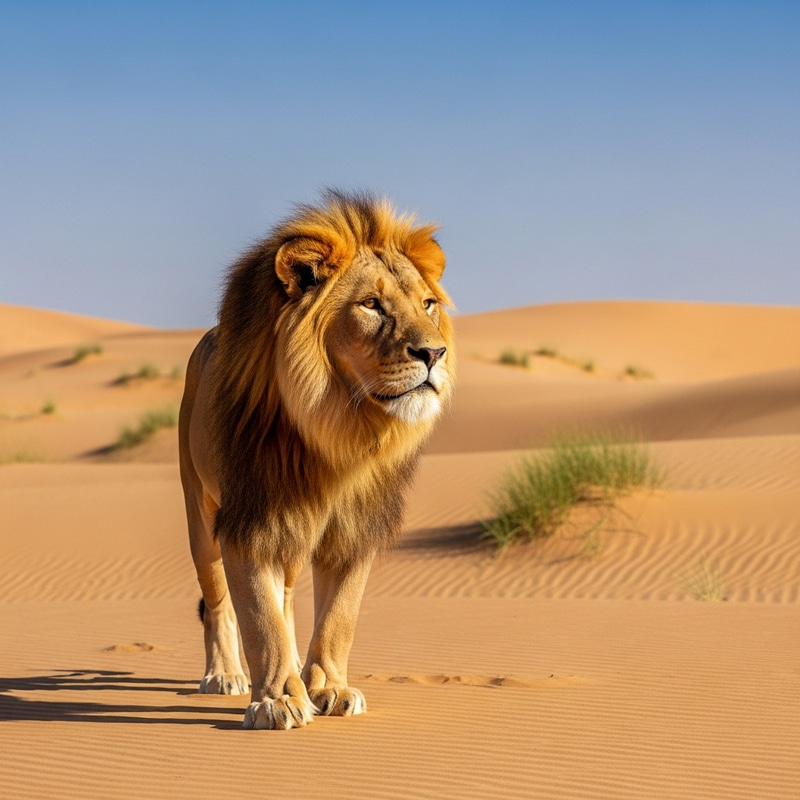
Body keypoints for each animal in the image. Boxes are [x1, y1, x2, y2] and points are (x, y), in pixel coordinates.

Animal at [179, 190, 454, 729]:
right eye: (371, 305)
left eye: (428, 304)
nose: (435, 353)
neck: (338, 432)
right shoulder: (249, 518)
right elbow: (258, 617)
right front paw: (276, 700)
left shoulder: (354, 525)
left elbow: (338, 616)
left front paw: (329, 687)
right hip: (199, 513)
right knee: (218, 602)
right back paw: (224, 675)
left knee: (284, 597)